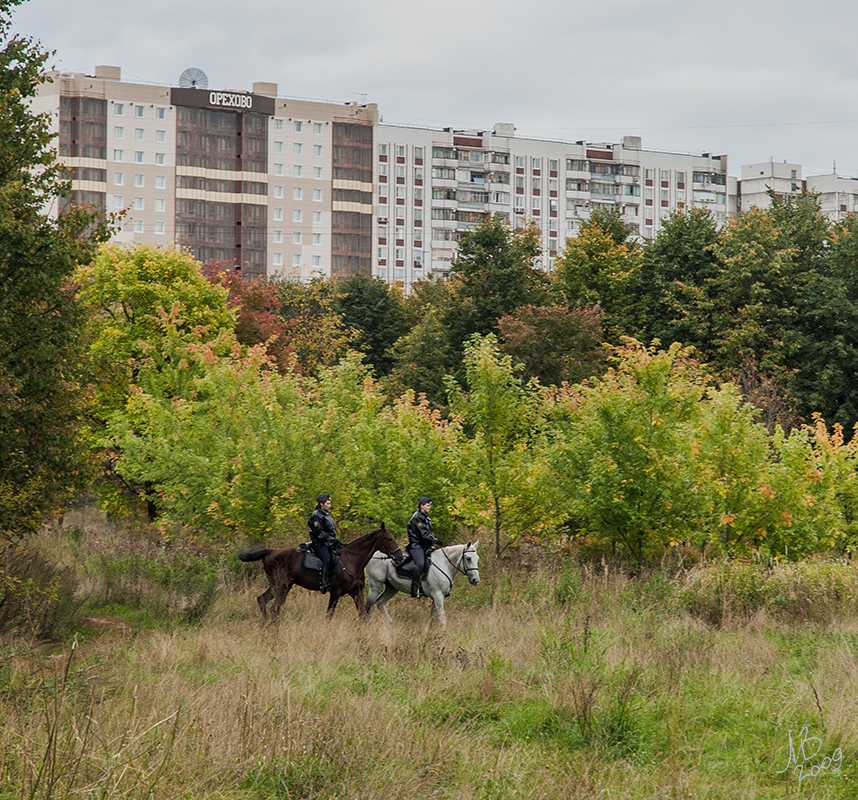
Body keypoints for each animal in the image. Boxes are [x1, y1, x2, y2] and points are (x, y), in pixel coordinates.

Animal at [237, 520, 402, 620]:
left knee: (263, 601)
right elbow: (329, 616)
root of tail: (270, 552)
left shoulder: (356, 592)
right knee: (273, 607)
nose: (400, 557)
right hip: (280, 585)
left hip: (282, 586)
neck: (352, 559)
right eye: (389, 539)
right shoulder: (335, 593)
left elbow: (363, 615)